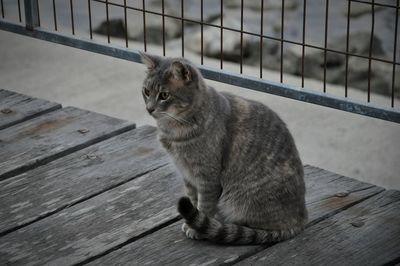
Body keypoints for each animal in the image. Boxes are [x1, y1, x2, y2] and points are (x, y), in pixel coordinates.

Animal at [139, 52, 308, 245]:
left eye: (164, 95)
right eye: (146, 91)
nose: (149, 109)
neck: (174, 130)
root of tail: (300, 220)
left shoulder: (207, 176)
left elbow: (204, 205)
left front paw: (197, 229)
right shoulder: (187, 175)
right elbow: (193, 200)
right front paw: (192, 223)